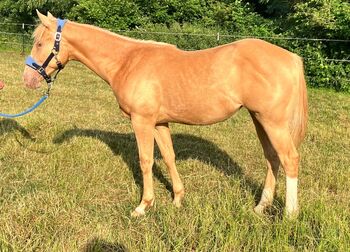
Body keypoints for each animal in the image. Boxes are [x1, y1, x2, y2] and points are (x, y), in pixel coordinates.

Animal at [23, 10, 308, 218]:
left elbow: (145, 160)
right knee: (272, 158)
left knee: (290, 159)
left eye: (39, 42)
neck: (128, 61)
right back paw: (260, 207)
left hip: (273, 122)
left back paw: (290, 215)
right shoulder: (160, 123)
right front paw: (178, 198)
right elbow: (169, 157)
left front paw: (143, 206)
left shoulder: (142, 121)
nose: (27, 79)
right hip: (259, 119)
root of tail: (291, 58)